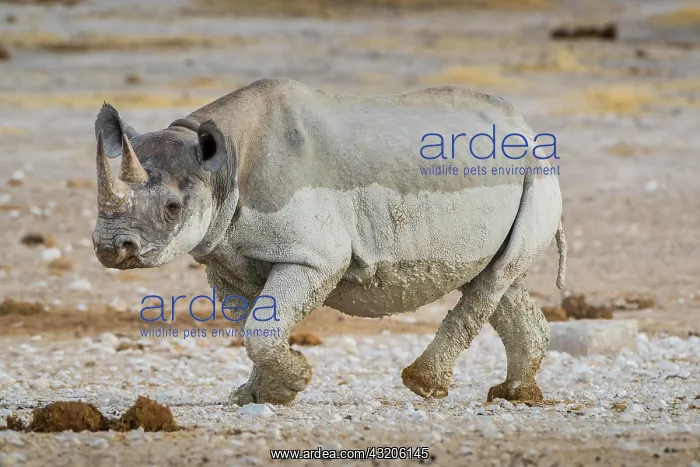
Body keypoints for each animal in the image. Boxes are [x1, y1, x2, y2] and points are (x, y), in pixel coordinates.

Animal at [92, 78, 566, 405]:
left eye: (173, 207)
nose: (112, 249)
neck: (219, 167)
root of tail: (525, 127)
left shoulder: (314, 257)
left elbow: (260, 328)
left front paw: (291, 384)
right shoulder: (224, 256)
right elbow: (252, 323)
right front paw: (258, 396)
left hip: (537, 171)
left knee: (497, 275)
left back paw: (424, 385)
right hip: (515, 171)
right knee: (498, 276)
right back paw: (516, 395)